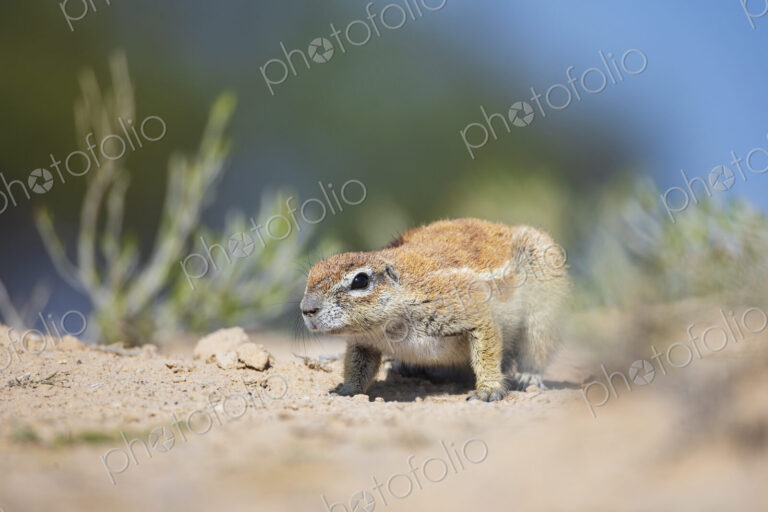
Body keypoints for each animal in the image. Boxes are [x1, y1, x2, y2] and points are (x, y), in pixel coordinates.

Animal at [300, 218, 569, 402]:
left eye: (360, 281)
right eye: (310, 274)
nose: (306, 309)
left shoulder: (463, 306)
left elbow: (487, 347)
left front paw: (488, 389)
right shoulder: (363, 341)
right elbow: (357, 365)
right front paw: (346, 390)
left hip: (543, 305)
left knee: (537, 347)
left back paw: (529, 376)